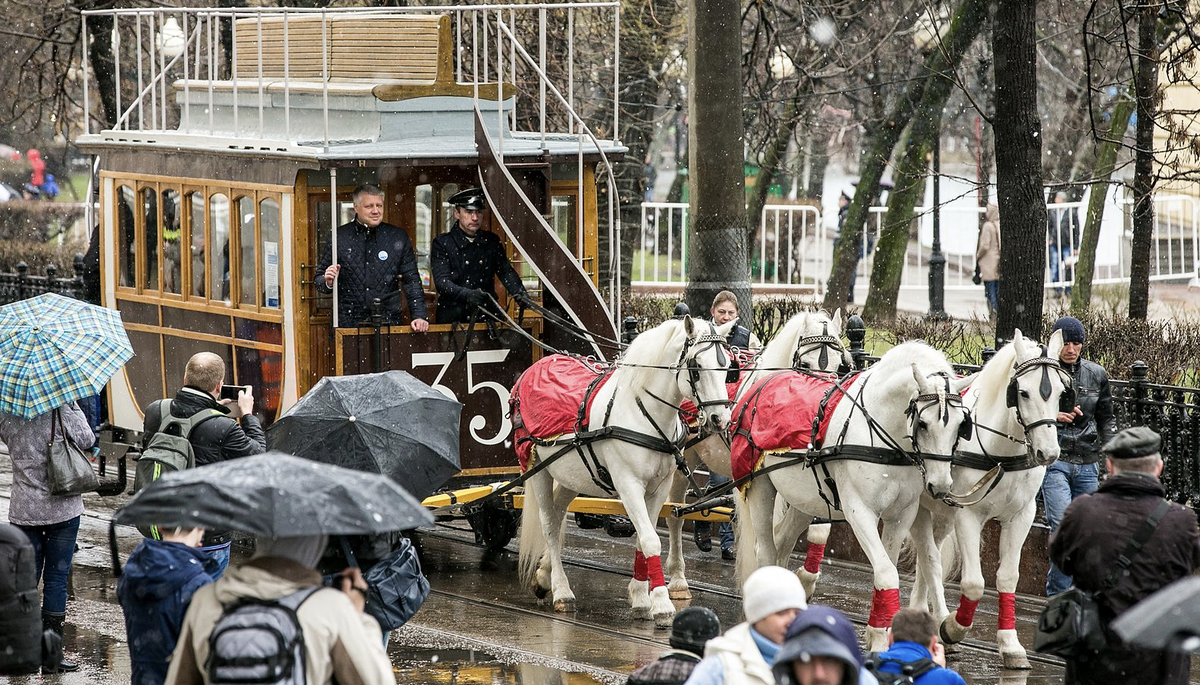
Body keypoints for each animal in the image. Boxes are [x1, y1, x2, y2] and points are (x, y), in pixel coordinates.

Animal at [518, 316, 734, 628]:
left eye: (728, 366)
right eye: (696, 367)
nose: (721, 419)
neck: (644, 412)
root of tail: (536, 367)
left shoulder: (658, 487)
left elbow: (644, 539)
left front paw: (641, 597)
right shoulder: (628, 484)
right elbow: (651, 540)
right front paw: (661, 604)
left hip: (571, 475)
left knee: (558, 518)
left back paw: (545, 576)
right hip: (538, 469)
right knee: (548, 523)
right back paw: (561, 589)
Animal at [662, 311, 849, 599]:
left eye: (840, 367)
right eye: (805, 364)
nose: (823, 403)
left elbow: (811, 531)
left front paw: (804, 580)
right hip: (684, 458)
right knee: (675, 513)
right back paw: (678, 578)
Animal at [729, 345, 974, 652]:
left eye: (961, 426)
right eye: (923, 423)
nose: (940, 485)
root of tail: (759, 384)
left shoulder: (902, 514)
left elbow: (887, 566)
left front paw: (879, 631)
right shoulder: (860, 510)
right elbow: (886, 572)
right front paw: (880, 640)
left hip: (804, 499)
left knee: (782, 541)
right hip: (760, 487)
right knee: (765, 550)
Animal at [907, 328, 1070, 667]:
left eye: (1062, 393)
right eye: (1023, 393)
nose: (1048, 453)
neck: (1002, 454)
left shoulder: (1021, 516)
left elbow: (1007, 577)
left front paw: (1010, 644)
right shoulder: (968, 515)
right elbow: (973, 583)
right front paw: (953, 627)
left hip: (941, 514)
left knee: (927, 560)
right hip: (919, 509)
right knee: (929, 560)